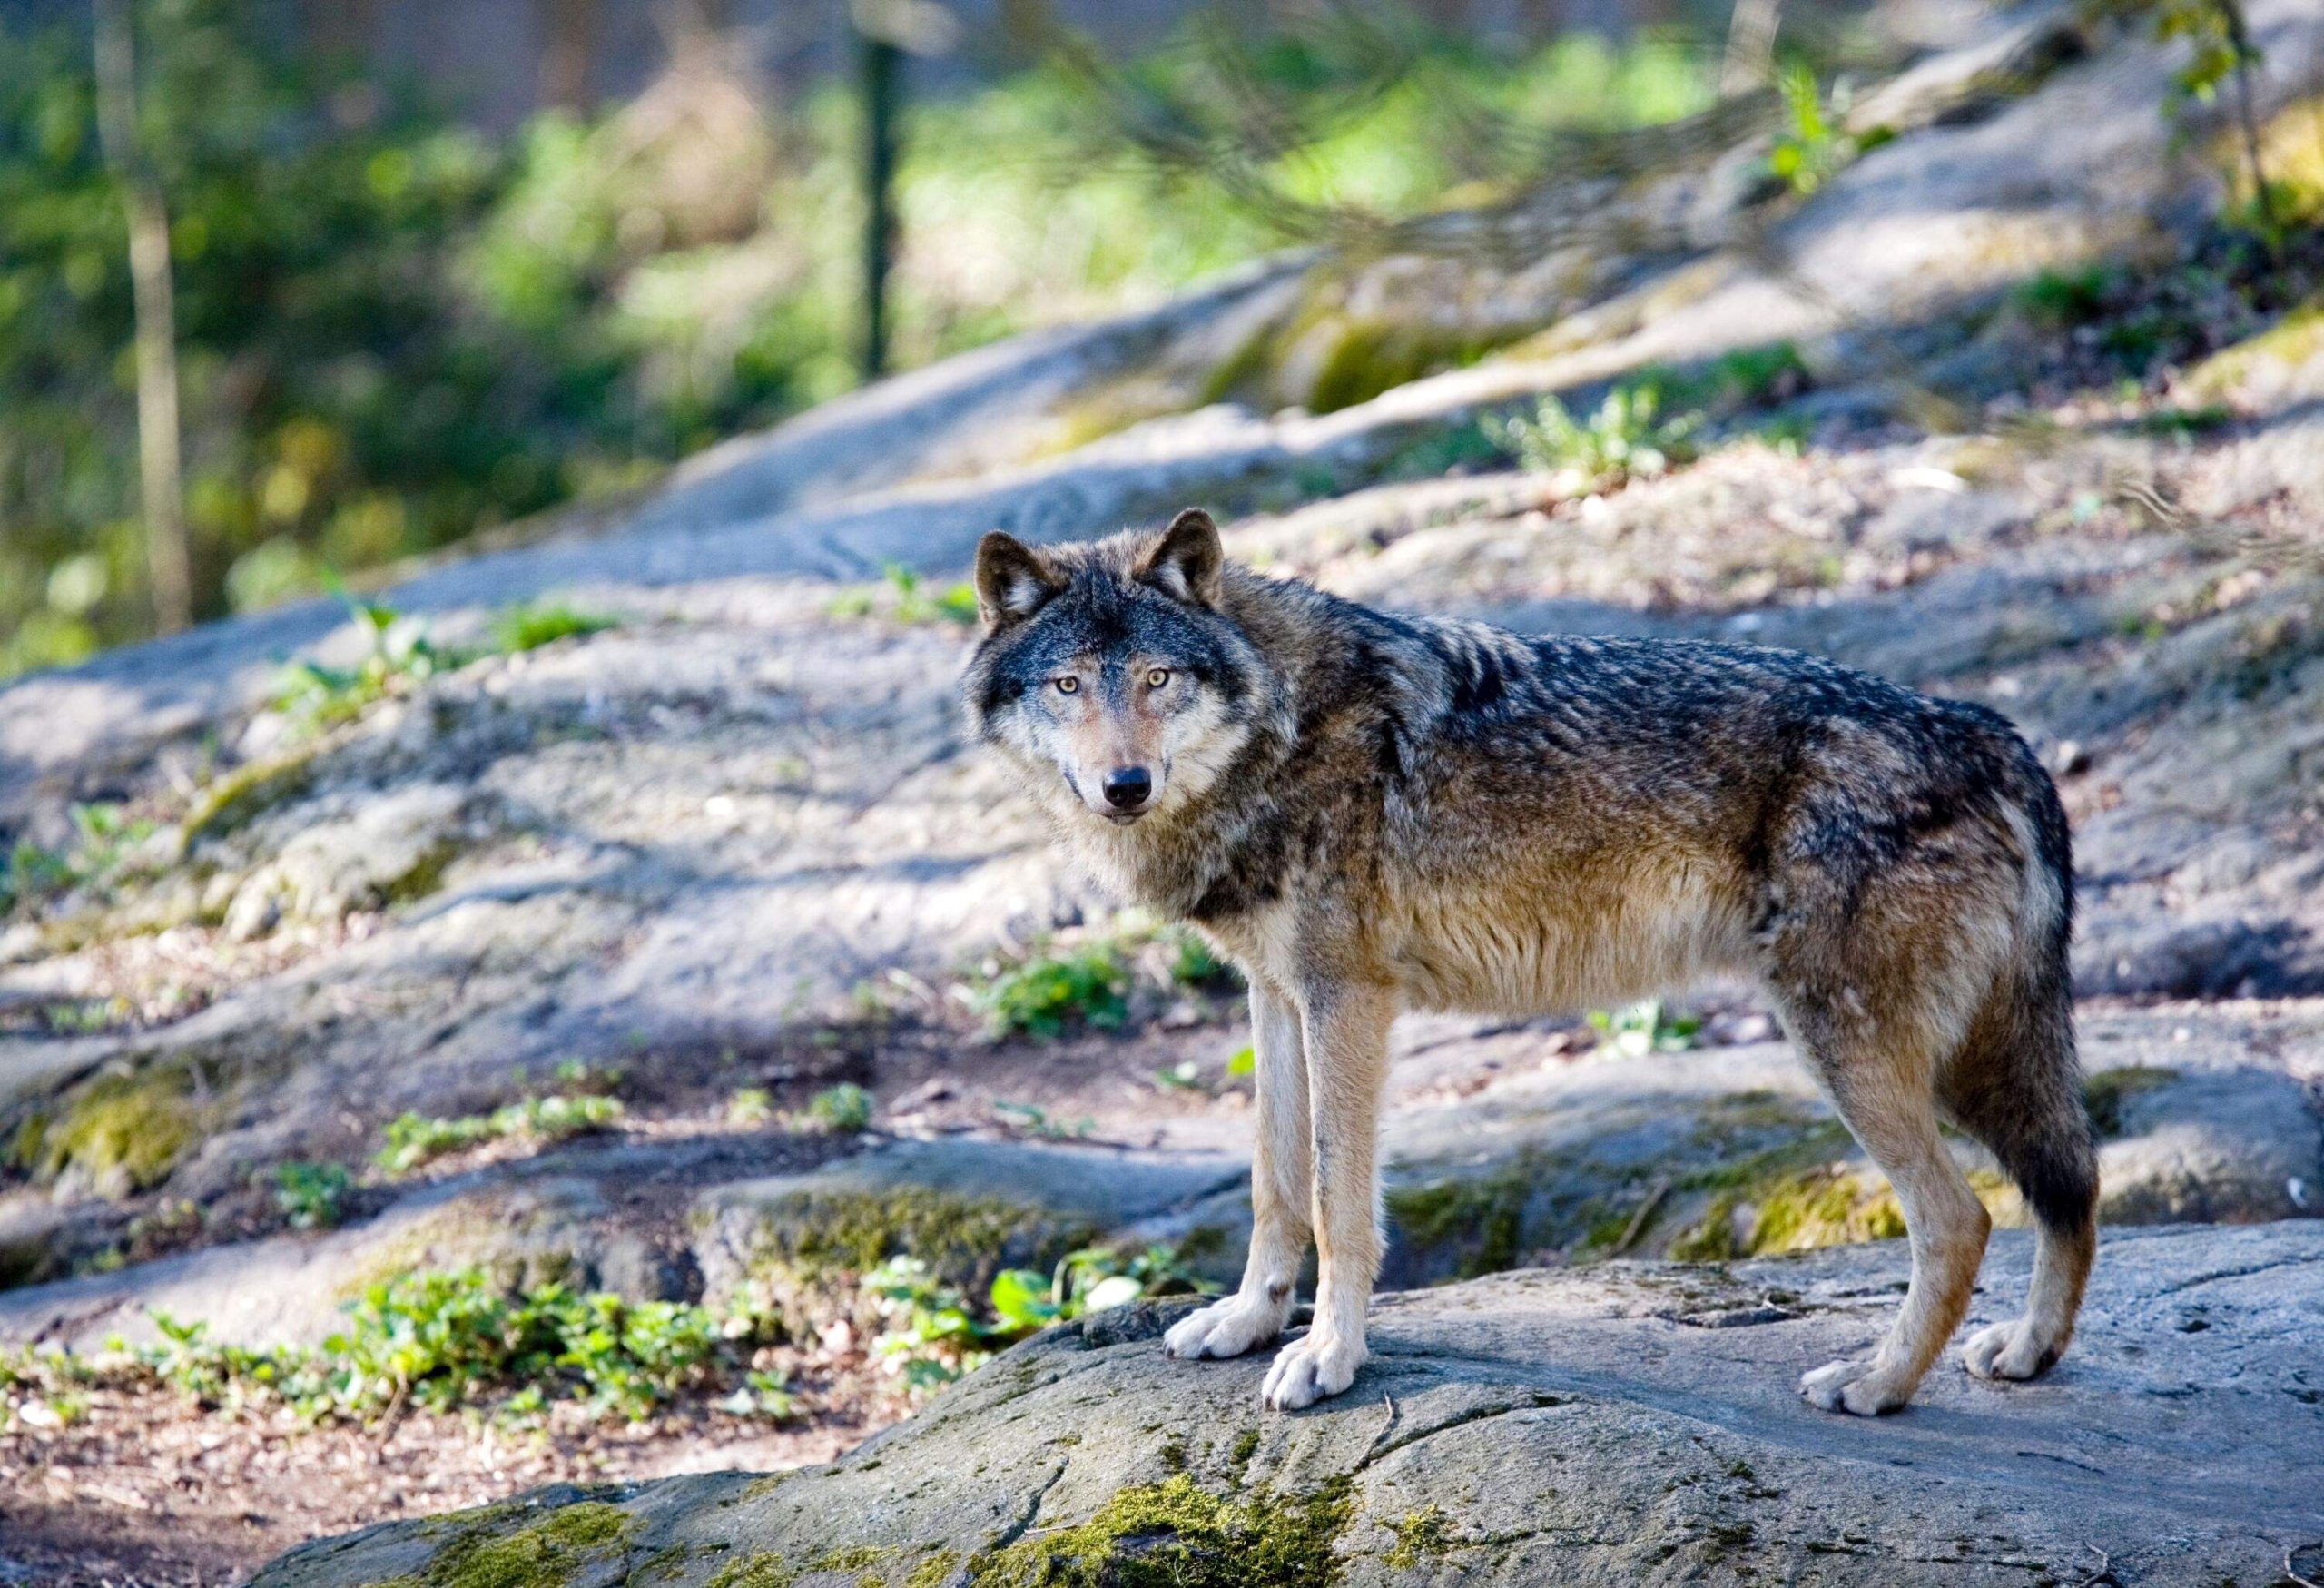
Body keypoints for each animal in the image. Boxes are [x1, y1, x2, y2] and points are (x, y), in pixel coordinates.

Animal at [961, 507, 2110, 1413]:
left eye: (1157, 678)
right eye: (1067, 684)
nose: (1124, 785)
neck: (1280, 728)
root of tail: (1989, 732)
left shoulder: (1348, 1001)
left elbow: (1336, 1202)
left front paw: (1327, 1359)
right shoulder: (1275, 997)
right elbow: (1273, 1186)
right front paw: (1245, 1322)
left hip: (1850, 1046)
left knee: (1962, 1219)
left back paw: (1874, 1384)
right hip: (1961, 1058)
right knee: (2071, 1180)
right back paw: (2027, 1352)